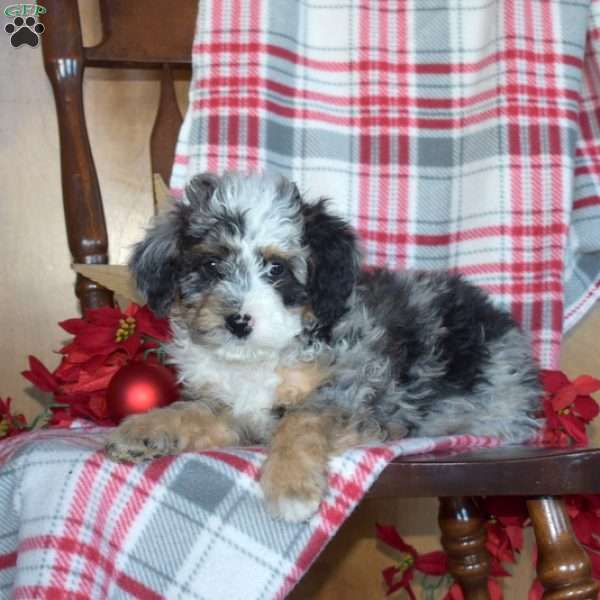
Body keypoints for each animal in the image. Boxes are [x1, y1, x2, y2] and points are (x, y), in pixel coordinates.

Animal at [105, 171, 540, 524]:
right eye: (212, 265)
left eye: (276, 269)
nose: (238, 321)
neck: (260, 359)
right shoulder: (234, 408)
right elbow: (193, 411)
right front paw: (143, 430)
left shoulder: (353, 392)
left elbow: (301, 421)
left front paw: (291, 486)